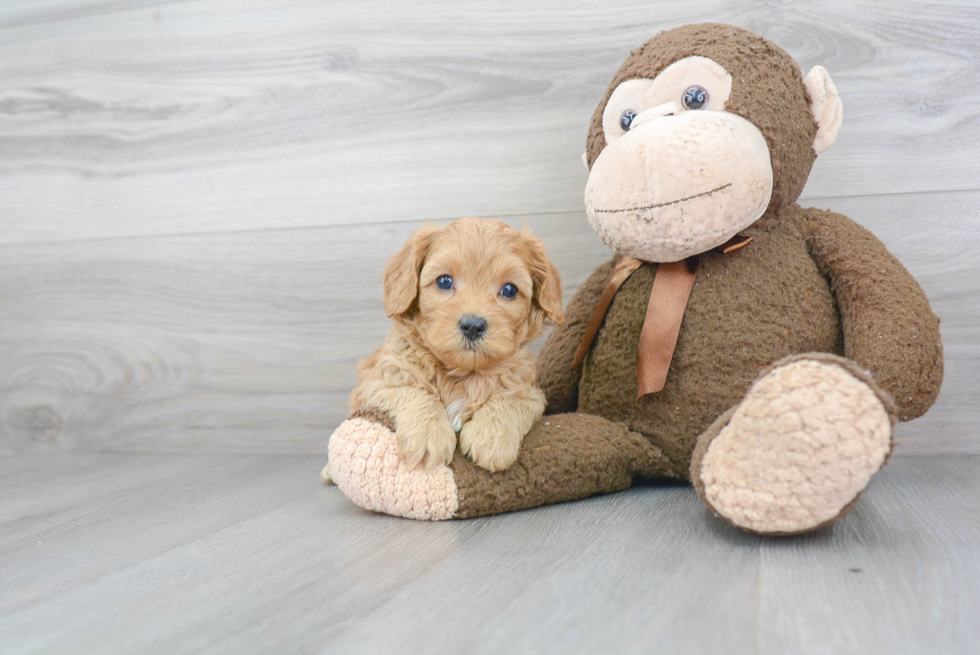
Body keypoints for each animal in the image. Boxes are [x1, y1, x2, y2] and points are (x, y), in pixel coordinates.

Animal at [352, 219, 568, 472]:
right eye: (444, 281)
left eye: (509, 289)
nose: (473, 325)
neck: (462, 374)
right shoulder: (378, 382)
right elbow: (412, 391)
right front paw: (427, 434)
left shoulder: (529, 391)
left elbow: (510, 400)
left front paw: (492, 438)